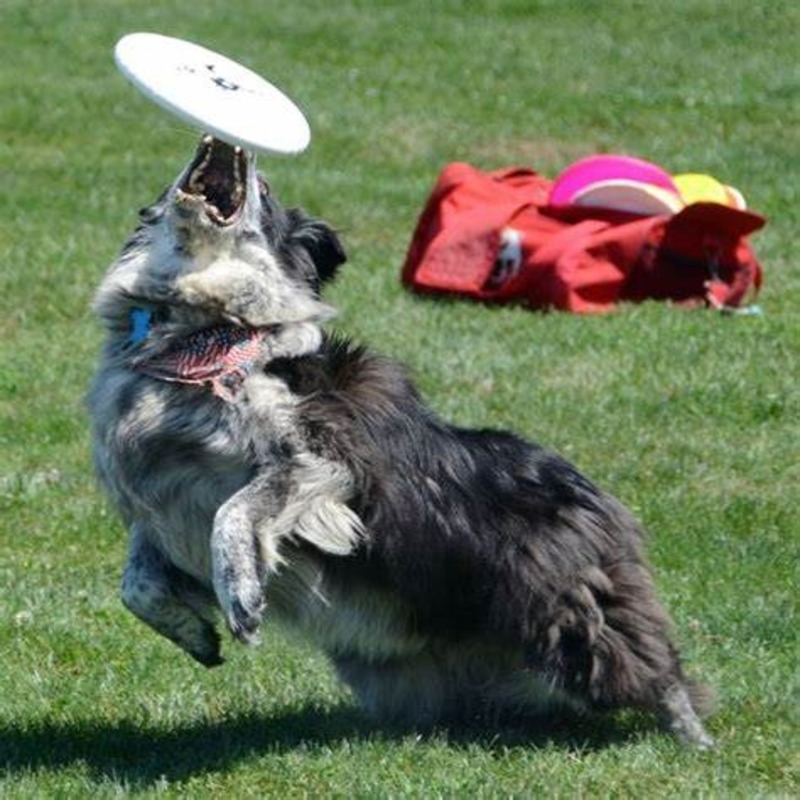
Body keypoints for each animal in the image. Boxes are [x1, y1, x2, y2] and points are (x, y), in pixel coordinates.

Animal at [90, 134, 716, 748]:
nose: (230, 141)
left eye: (263, 192)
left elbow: (236, 513)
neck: (202, 339)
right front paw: (197, 634)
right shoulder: (161, 501)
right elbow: (135, 583)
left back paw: (695, 741)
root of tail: (594, 494)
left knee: (652, 666)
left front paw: (240, 598)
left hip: (563, 608)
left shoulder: (326, 459)